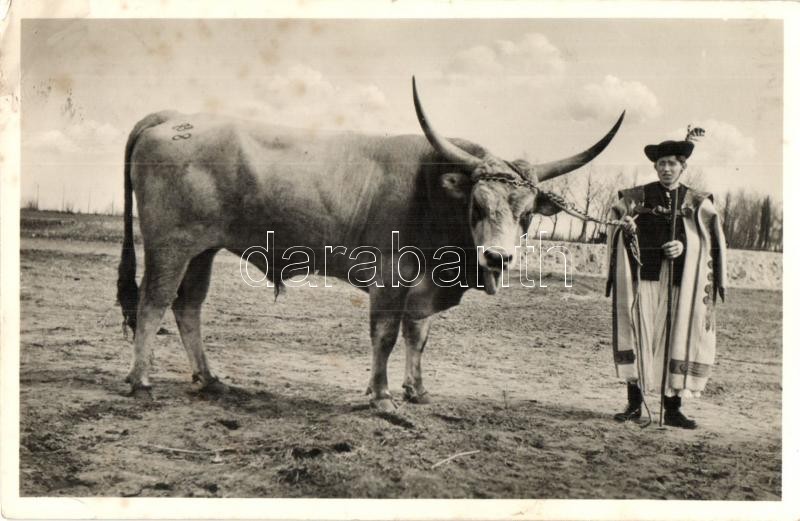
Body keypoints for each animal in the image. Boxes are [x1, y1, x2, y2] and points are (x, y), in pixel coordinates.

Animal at [117, 78, 624, 411]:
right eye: (477, 205)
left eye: (525, 214)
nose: (497, 257)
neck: (431, 191)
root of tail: (174, 118)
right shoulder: (391, 276)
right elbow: (385, 335)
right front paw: (380, 396)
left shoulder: (425, 284)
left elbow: (418, 335)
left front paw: (417, 390)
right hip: (171, 244)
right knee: (153, 302)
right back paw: (141, 380)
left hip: (203, 248)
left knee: (188, 306)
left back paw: (209, 379)